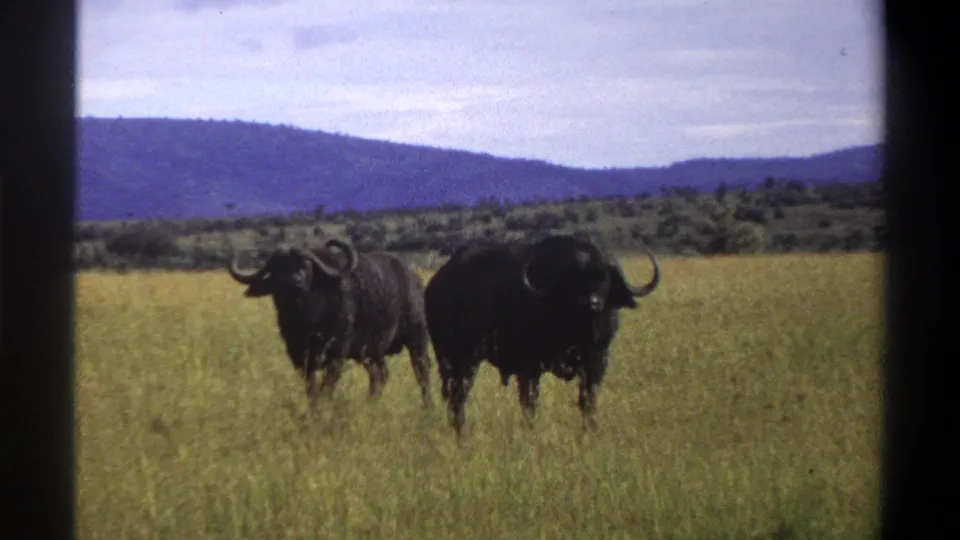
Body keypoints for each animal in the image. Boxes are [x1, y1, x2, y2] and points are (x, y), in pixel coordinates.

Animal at [227, 239, 433, 410]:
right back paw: (370, 404)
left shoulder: (336, 354)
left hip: (417, 339)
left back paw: (427, 407)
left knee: (422, 373)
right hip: (371, 352)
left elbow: (326, 387)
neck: (307, 319)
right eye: (278, 267)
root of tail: (415, 279)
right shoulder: (300, 357)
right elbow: (311, 389)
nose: (295, 282)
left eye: (306, 265)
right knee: (380, 376)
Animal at [424, 234, 660, 437]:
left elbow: (588, 401)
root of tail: (436, 286)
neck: (577, 330)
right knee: (458, 399)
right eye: (574, 277)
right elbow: (529, 403)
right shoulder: (528, 367)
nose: (590, 303)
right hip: (461, 361)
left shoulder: (597, 362)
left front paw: (589, 430)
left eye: (604, 277)